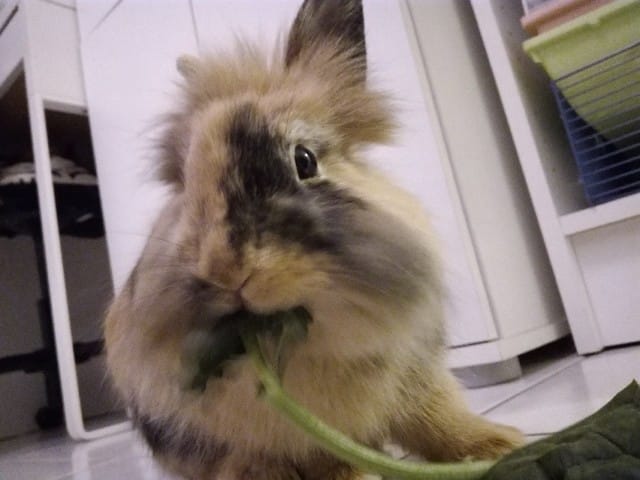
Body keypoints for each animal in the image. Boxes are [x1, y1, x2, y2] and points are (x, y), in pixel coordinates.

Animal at [104, 0, 524, 478]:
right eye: (188, 186)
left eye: (304, 160)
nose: (225, 271)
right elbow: (325, 463)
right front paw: (361, 476)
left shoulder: (419, 381)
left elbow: (440, 418)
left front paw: (501, 445)